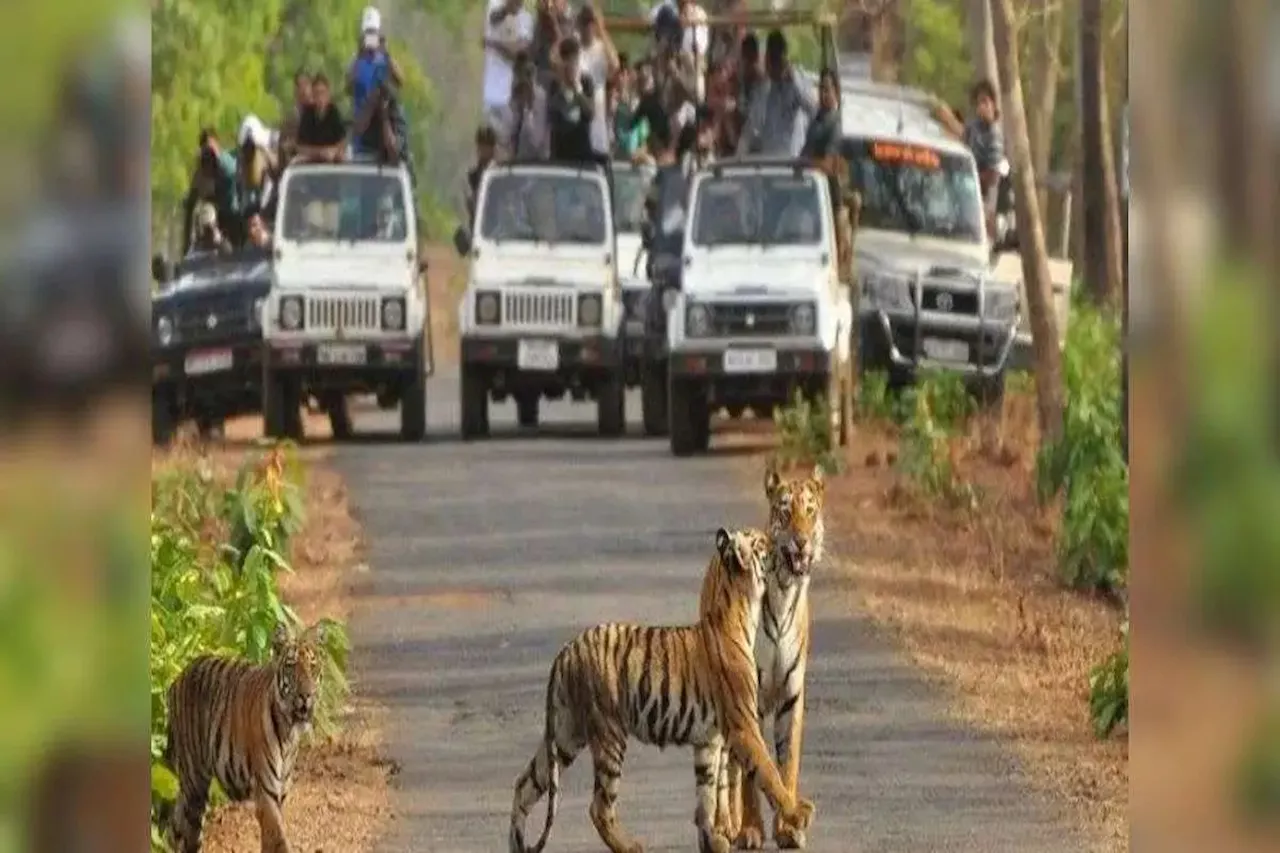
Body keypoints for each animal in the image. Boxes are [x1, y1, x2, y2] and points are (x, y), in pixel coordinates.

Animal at [160, 617, 322, 850]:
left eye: (313, 666)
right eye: (291, 666)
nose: (306, 695)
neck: (289, 731)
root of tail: (178, 677)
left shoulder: (280, 793)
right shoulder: (266, 792)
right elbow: (278, 840)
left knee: (175, 829)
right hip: (195, 783)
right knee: (186, 832)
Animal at [504, 525, 814, 850]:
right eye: (762, 542)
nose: (783, 545)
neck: (741, 608)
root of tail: (565, 651)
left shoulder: (708, 739)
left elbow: (706, 795)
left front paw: (712, 840)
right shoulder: (743, 726)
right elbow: (769, 773)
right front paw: (797, 813)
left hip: (565, 735)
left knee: (524, 784)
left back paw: (516, 844)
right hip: (608, 733)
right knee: (599, 807)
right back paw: (630, 847)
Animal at [721, 461, 829, 845]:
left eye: (810, 511)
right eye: (785, 511)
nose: (802, 541)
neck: (784, 590)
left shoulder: (791, 695)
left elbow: (787, 763)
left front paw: (788, 828)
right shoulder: (746, 695)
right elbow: (753, 771)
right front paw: (752, 829)